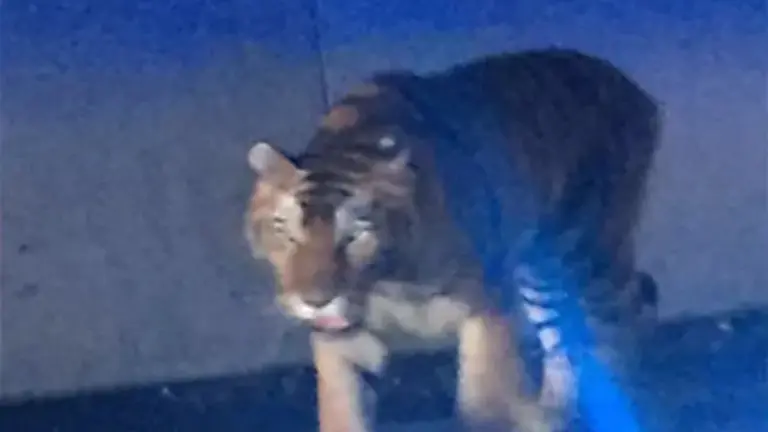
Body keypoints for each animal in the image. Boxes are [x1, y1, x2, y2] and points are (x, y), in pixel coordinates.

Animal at [244, 47, 661, 432]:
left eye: (356, 234)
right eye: (285, 230)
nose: (315, 301)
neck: (391, 282)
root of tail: (634, 89)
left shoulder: (488, 307)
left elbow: (483, 402)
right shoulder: (341, 340)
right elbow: (343, 407)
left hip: (591, 256)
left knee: (619, 323)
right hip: (541, 273)